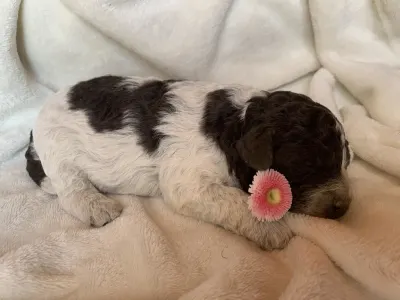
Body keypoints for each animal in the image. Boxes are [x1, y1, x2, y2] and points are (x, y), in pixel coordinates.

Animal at [25, 76, 352, 250]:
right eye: (310, 165)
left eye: (345, 162)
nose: (345, 207)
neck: (237, 122)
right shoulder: (190, 182)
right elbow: (235, 201)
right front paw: (273, 230)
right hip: (58, 149)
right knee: (70, 189)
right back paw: (98, 207)